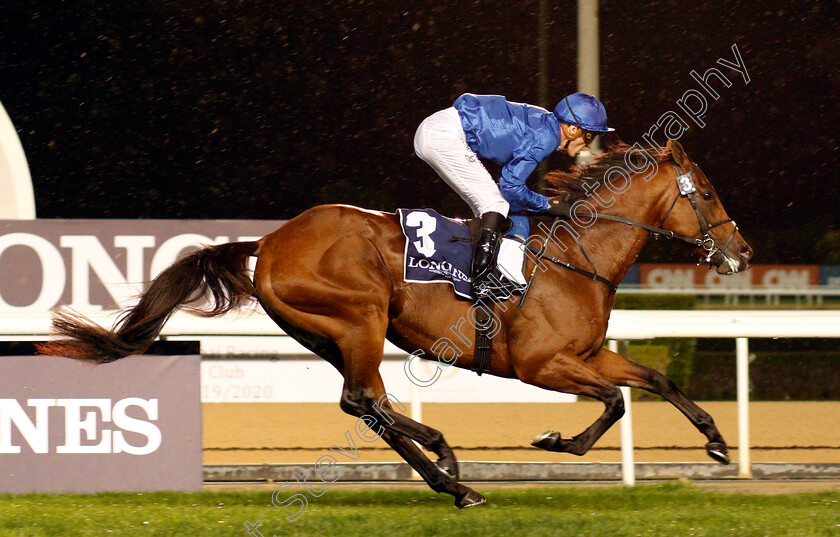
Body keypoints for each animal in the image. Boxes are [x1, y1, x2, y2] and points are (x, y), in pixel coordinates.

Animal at [37, 139, 756, 506]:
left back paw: (449, 473)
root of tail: (270, 240)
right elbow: (614, 401)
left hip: (330, 332)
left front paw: (717, 444)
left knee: (368, 405)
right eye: (708, 193)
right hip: (359, 316)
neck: (573, 256)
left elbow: (653, 378)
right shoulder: (540, 363)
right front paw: (556, 440)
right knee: (364, 399)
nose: (742, 252)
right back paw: (450, 467)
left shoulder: (586, 353)